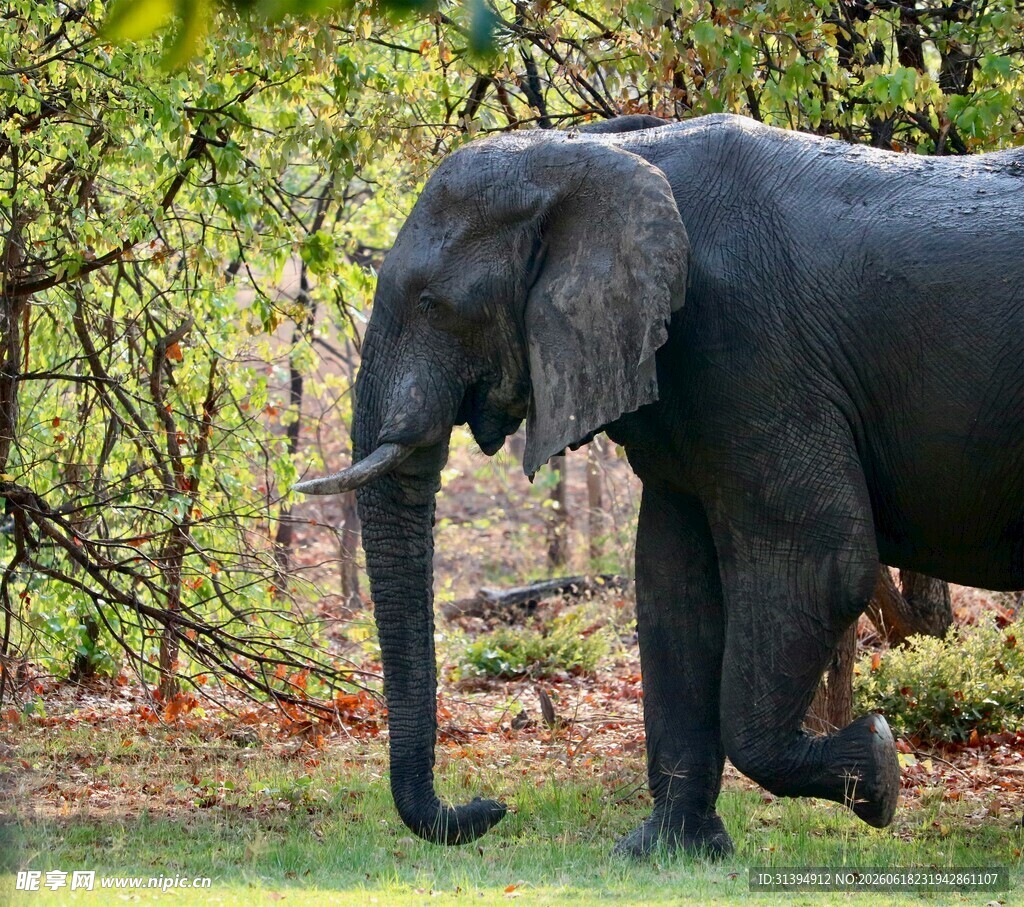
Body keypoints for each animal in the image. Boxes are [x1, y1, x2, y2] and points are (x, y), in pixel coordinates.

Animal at [296, 113, 1024, 857]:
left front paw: (878, 768)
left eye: (433, 302)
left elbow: (825, 564)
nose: (491, 806)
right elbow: (672, 581)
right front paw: (666, 851)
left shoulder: (753, 349)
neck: (598, 153)